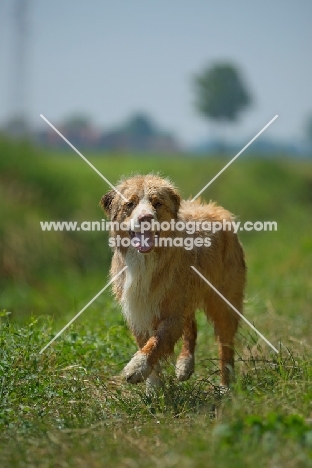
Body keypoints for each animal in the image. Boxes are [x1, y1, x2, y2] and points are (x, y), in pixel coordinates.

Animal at [100, 175, 246, 388]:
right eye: (130, 204)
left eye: (157, 203)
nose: (145, 218)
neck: (146, 261)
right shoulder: (138, 310)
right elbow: (147, 341)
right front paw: (154, 387)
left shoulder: (171, 311)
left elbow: (156, 341)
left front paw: (137, 367)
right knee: (191, 324)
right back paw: (185, 364)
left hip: (223, 302)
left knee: (225, 344)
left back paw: (225, 386)